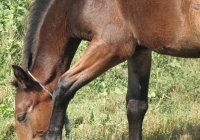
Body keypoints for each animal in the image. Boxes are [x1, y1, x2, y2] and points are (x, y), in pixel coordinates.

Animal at [11, 0, 200, 139]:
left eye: (21, 116)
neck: (78, 5)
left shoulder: (111, 46)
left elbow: (63, 87)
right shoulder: (139, 51)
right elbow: (136, 106)